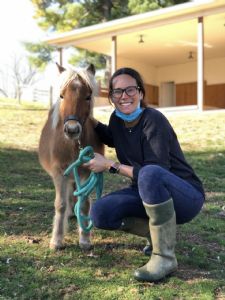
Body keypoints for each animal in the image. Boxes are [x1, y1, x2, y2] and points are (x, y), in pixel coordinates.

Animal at [38, 63, 103, 251]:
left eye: (88, 97)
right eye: (61, 95)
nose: (72, 130)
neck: (73, 145)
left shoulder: (87, 172)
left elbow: (85, 204)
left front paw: (85, 239)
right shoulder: (60, 172)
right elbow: (60, 204)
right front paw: (57, 240)